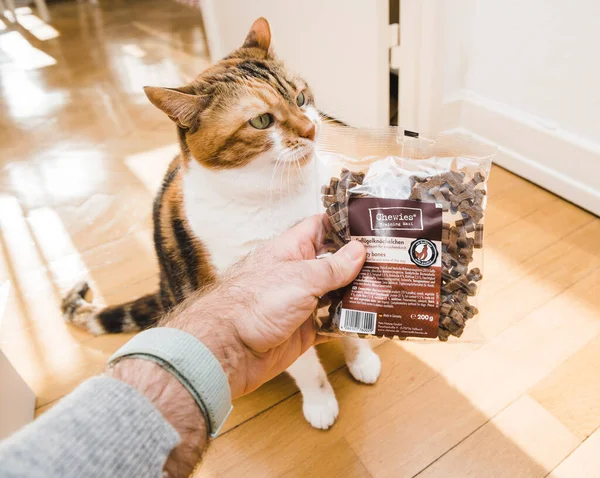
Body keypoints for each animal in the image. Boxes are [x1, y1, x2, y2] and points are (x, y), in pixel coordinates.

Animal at [62, 17, 380, 430]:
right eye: (261, 120)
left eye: (300, 98)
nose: (311, 130)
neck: (281, 192)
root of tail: (163, 290)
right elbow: (305, 365)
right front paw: (321, 402)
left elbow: (351, 325)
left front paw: (361, 358)